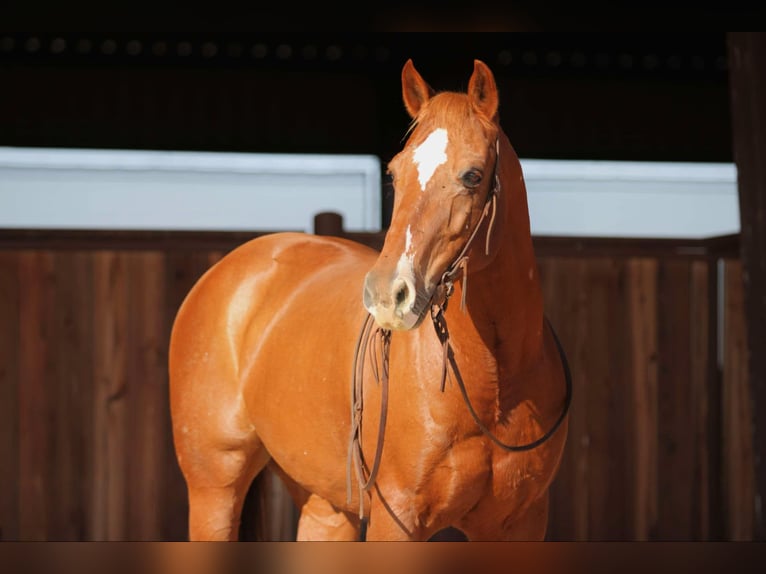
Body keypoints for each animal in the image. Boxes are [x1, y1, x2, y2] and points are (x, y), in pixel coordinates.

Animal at [168, 58, 571, 541]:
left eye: (473, 175)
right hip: (214, 488)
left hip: (324, 505)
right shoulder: (397, 518)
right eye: (394, 174)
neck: (494, 387)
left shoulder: (519, 524)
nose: (387, 294)